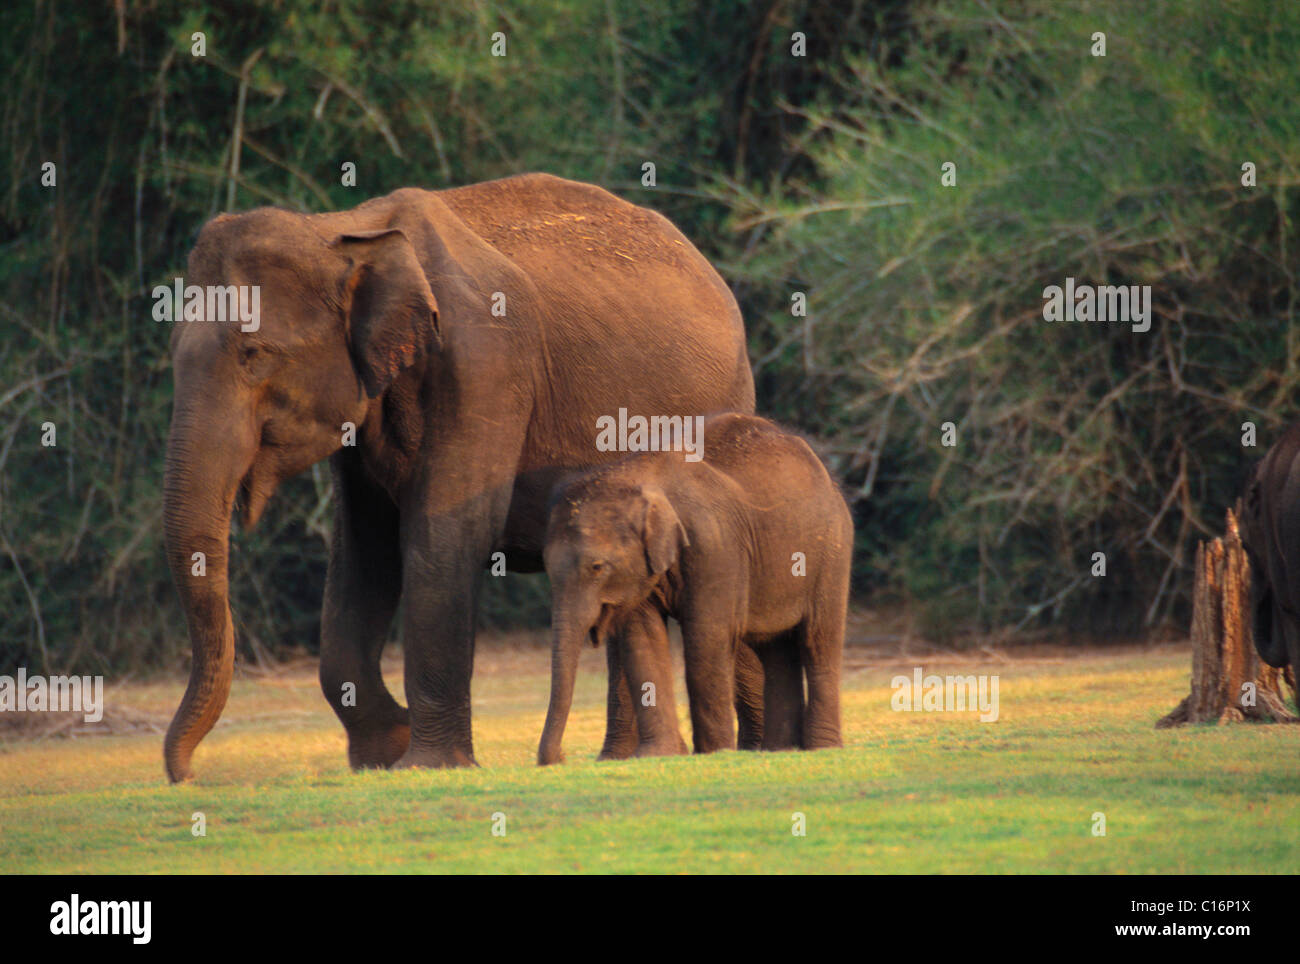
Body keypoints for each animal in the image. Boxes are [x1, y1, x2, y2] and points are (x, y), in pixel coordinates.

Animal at [161, 174, 759, 779]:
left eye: (254, 353)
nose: (187, 775)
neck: (340, 229)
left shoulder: (485, 361)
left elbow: (446, 534)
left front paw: (423, 763)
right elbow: (363, 549)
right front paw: (382, 754)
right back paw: (618, 757)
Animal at [538, 410, 852, 763]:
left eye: (597, 567)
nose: (560, 758)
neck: (637, 474)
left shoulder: (714, 544)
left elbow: (707, 635)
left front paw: (714, 752)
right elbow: (642, 639)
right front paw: (657, 755)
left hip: (833, 549)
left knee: (818, 639)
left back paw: (822, 746)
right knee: (774, 646)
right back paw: (780, 750)